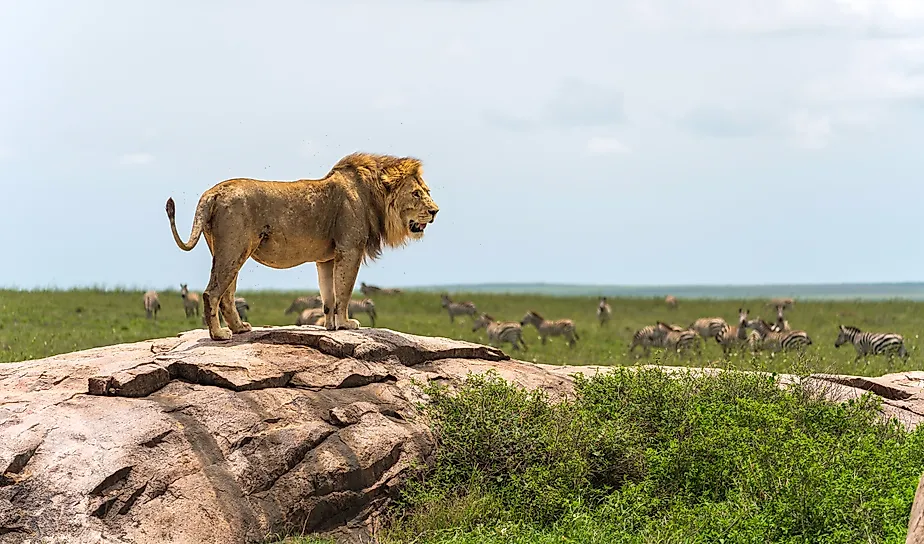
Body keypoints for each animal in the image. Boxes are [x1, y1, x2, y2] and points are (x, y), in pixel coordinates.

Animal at [165, 152, 439, 341]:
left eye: (427, 190)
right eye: (416, 193)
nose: (435, 211)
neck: (374, 195)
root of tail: (213, 192)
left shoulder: (326, 258)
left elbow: (329, 295)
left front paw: (331, 326)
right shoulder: (350, 249)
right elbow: (345, 291)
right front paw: (346, 324)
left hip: (229, 250)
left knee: (227, 295)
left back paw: (240, 328)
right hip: (233, 249)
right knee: (212, 293)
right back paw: (219, 335)